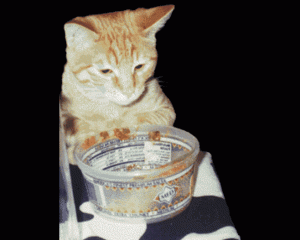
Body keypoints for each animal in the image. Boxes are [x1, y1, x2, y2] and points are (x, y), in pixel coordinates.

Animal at [60, 5, 176, 165]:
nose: (128, 92)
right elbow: (82, 127)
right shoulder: (64, 114)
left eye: (139, 66)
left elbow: (138, 120)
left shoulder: (166, 110)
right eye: (105, 71)